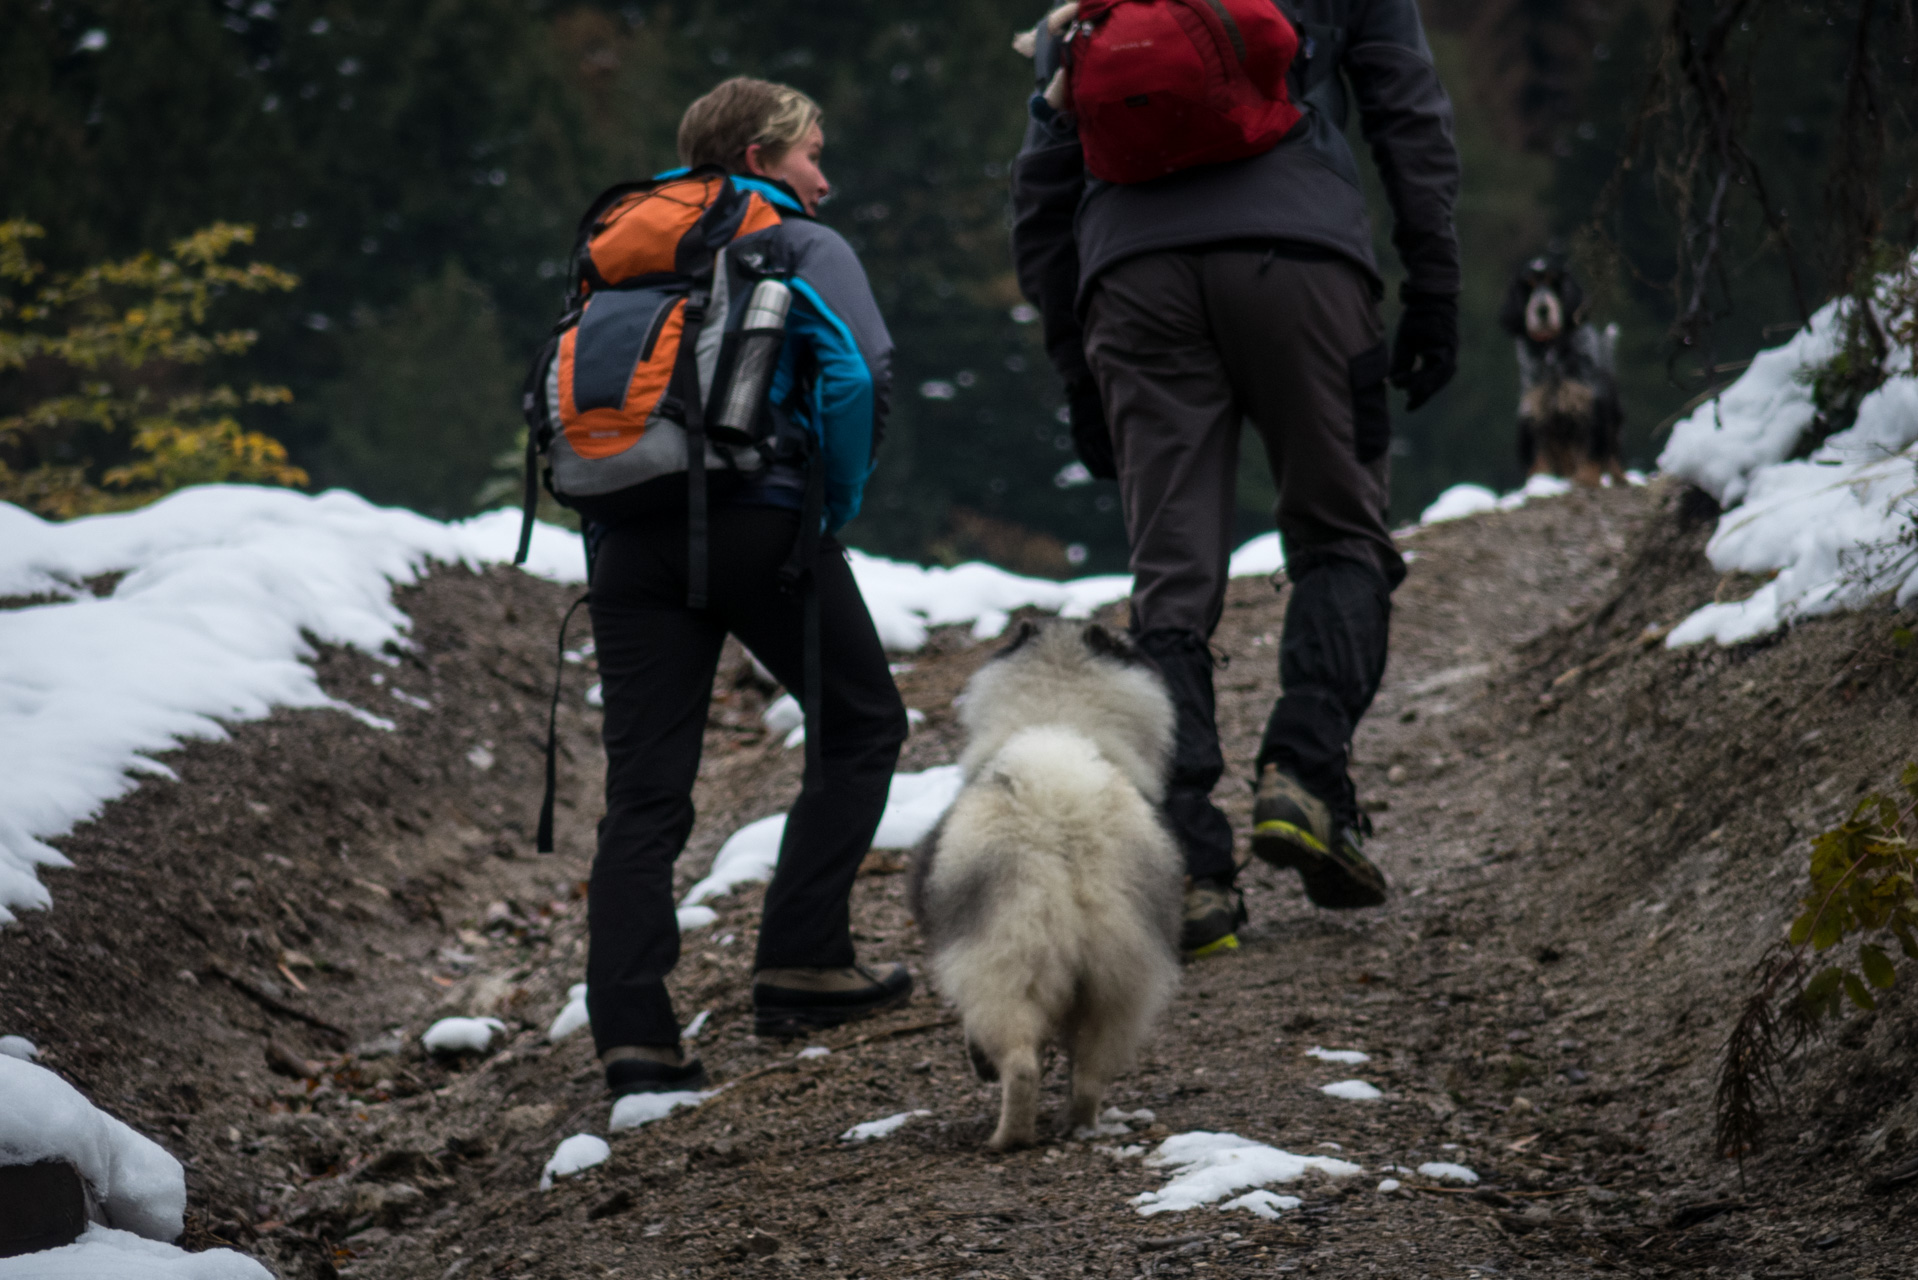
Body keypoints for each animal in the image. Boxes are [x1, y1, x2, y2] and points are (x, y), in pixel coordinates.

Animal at [901, 621, 1181, 1151]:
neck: (1058, 713)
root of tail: (1061, 804)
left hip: (1005, 962)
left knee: (1021, 1066)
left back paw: (1006, 1138)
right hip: (1119, 976)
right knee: (1090, 1072)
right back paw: (1077, 1124)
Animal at [1488, 259, 1626, 485]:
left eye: (1555, 283)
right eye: (1528, 286)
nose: (1542, 310)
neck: (1551, 352)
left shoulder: (1589, 407)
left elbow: (1591, 453)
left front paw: (1586, 480)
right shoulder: (1535, 415)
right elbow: (1539, 460)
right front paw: (1540, 484)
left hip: (1614, 415)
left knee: (1613, 452)